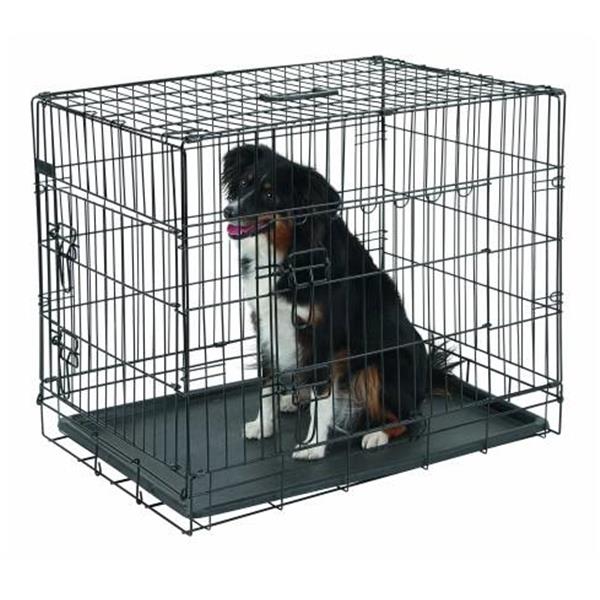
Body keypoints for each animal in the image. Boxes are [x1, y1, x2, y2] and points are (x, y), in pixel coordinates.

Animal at [222, 144, 445, 460]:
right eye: (244, 183)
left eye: (270, 195)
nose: (228, 211)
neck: (286, 252)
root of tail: (426, 379)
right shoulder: (264, 322)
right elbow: (266, 382)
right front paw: (263, 425)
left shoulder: (324, 337)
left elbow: (323, 398)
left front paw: (313, 446)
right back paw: (293, 399)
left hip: (379, 367)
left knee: (411, 418)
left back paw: (377, 434)